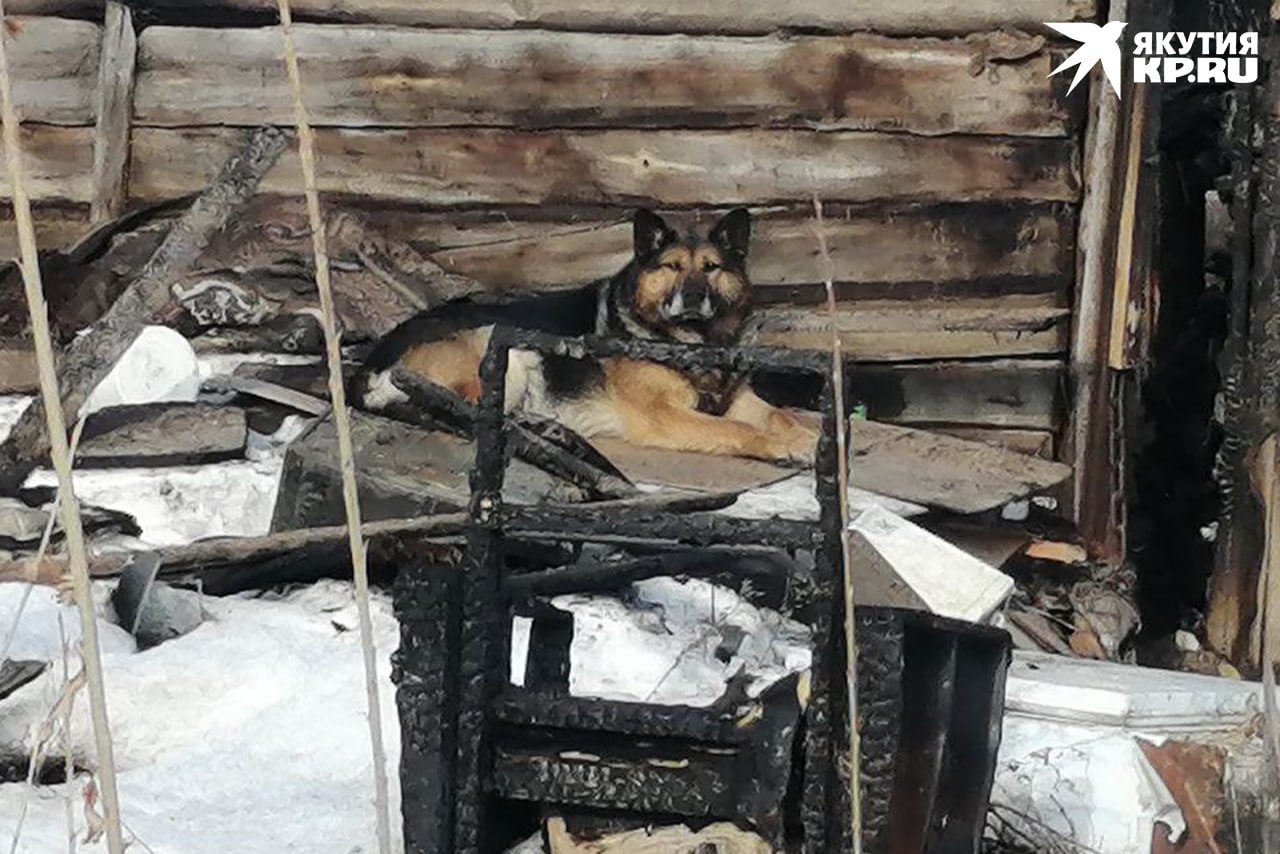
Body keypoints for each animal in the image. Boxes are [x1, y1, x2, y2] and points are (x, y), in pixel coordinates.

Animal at [353, 207, 808, 463]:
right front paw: (777, 445)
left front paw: (808, 436)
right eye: (672, 267)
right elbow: (738, 430)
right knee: (465, 411)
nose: (694, 296)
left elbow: (782, 415)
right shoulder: (664, 415)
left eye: (711, 268)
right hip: (504, 347)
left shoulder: (738, 399)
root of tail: (370, 365)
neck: (693, 343)